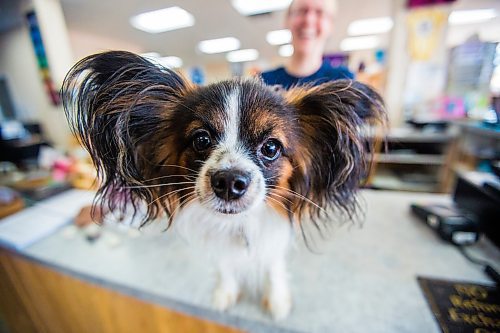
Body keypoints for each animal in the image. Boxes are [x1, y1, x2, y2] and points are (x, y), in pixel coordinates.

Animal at [61, 50, 382, 318]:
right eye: (201, 139)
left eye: (271, 148)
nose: (229, 181)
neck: (237, 225)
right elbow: (226, 269)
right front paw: (225, 294)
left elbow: (273, 268)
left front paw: (277, 299)